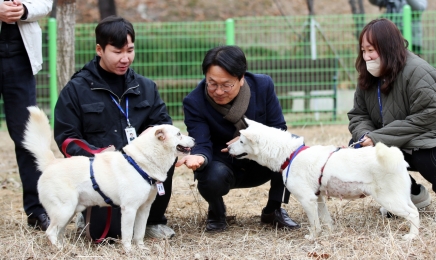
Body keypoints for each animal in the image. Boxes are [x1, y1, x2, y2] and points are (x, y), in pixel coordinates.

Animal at [22, 106, 195, 252]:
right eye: (179, 134)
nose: (194, 139)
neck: (140, 163)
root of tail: (52, 163)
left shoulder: (143, 209)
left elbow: (139, 233)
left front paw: (141, 249)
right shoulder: (129, 209)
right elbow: (127, 235)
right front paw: (129, 251)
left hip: (69, 211)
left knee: (59, 232)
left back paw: (65, 247)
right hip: (64, 210)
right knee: (50, 232)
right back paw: (60, 249)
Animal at [228, 119, 418, 241]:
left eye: (242, 141)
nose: (228, 147)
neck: (290, 155)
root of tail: (397, 158)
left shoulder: (308, 199)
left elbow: (315, 224)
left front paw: (313, 238)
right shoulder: (318, 198)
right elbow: (326, 220)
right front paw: (330, 234)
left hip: (389, 200)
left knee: (413, 214)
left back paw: (411, 236)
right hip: (401, 198)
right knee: (414, 210)